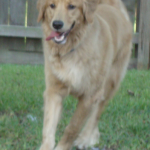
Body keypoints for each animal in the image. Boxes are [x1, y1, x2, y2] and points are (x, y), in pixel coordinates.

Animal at [37, 0, 132, 149]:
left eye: (71, 6)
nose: (56, 24)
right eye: (52, 5)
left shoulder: (90, 96)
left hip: (109, 83)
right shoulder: (54, 90)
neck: (71, 50)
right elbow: (48, 127)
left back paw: (86, 137)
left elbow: (73, 127)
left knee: (97, 113)